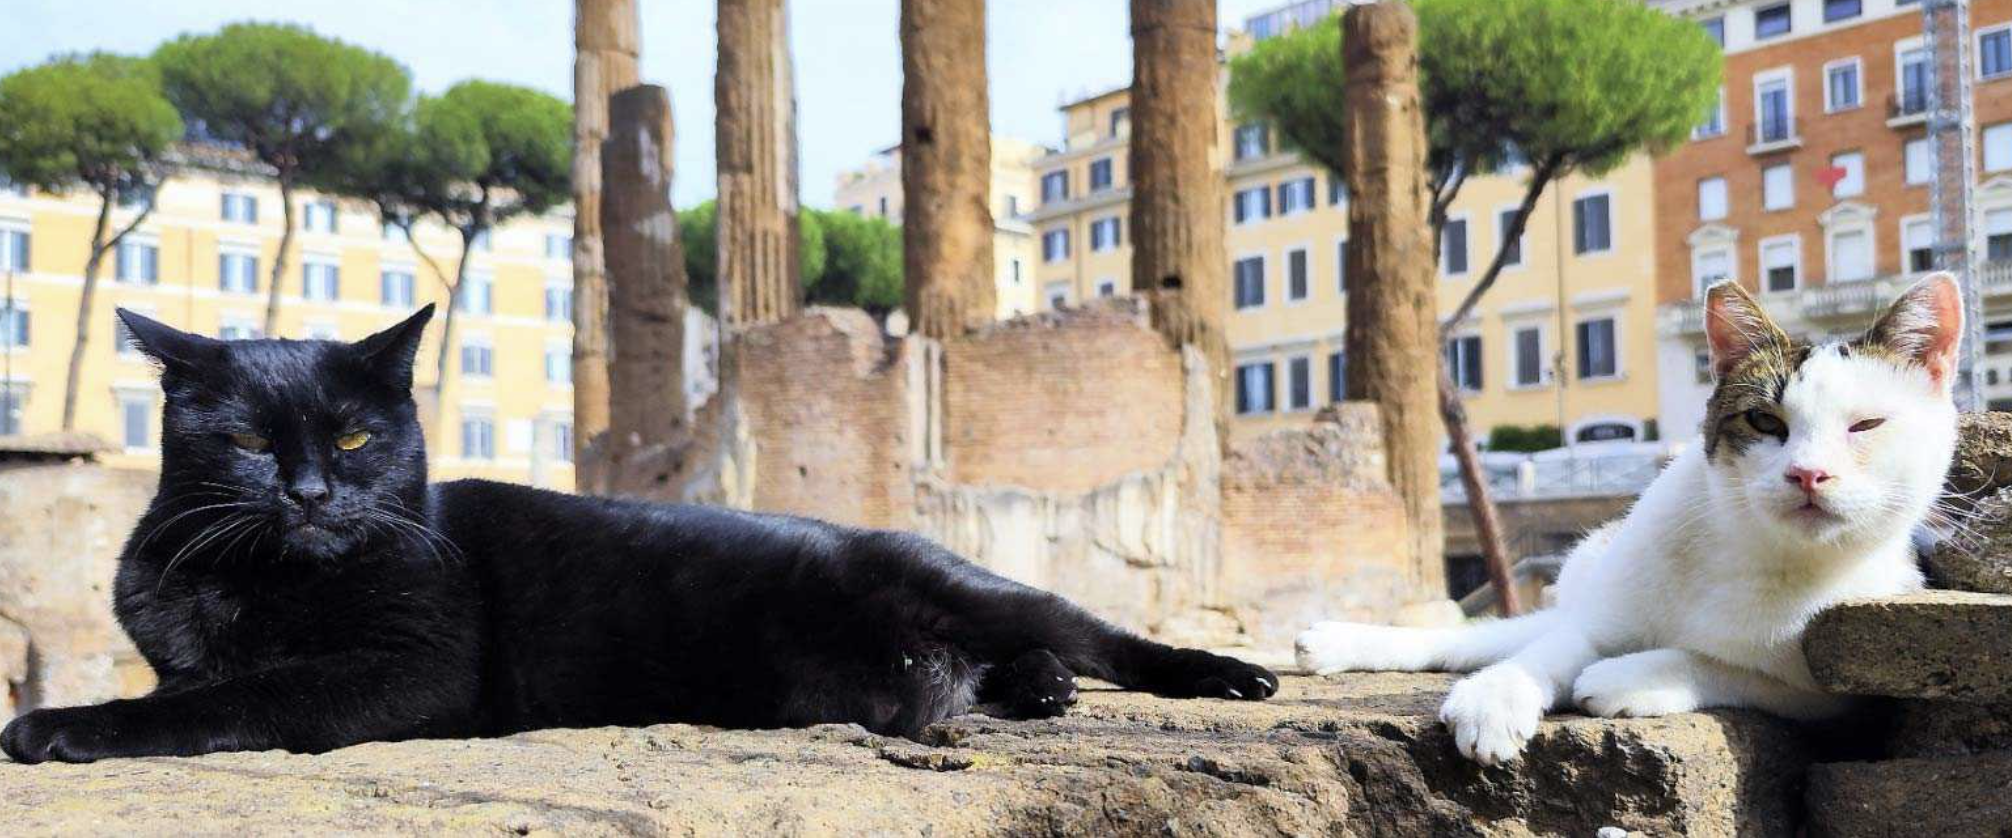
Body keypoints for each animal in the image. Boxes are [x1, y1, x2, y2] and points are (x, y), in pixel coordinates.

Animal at [0, 309, 1279, 763]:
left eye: (358, 438)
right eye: (253, 443)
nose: (312, 492)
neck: (256, 580)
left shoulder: (414, 669)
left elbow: (232, 695)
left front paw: (60, 725)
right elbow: (202, 682)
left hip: (970, 583)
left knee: (1097, 631)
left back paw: (1223, 674)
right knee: (985, 666)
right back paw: (1023, 686)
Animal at [1287, 273, 1963, 763]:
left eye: (1866, 425)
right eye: (1765, 421)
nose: (1807, 474)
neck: (1756, 550)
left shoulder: (1845, 701)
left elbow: (1730, 668)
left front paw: (1625, 677)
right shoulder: (1604, 613)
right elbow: (1554, 648)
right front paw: (1497, 698)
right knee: (1485, 638)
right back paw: (1341, 641)